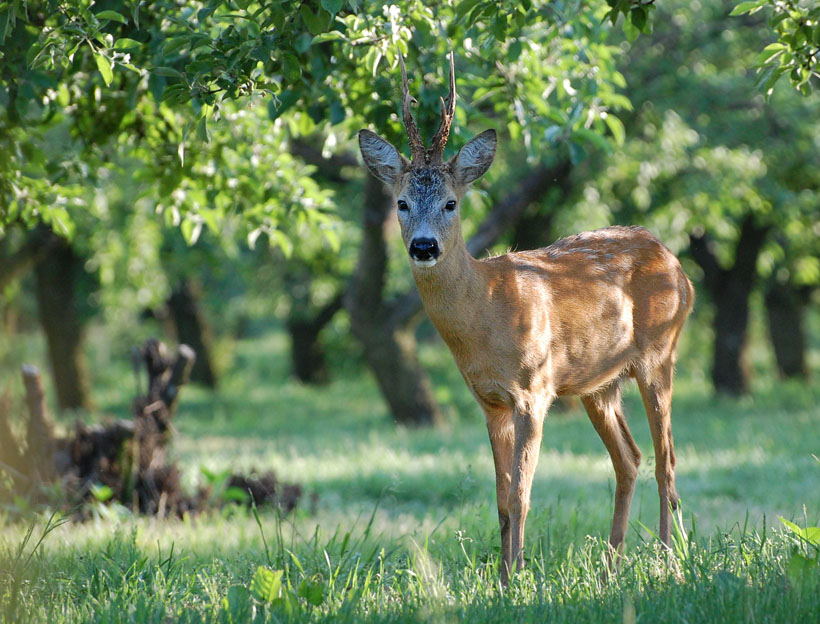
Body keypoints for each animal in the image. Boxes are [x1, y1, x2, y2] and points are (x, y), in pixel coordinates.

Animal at [358, 53, 692, 584]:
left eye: (451, 202)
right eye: (401, 203)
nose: (424, 246)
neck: (487, 310)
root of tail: (677, 265)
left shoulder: (534, 391)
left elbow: (521, 494)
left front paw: (517, 579)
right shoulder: (490, 400)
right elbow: (500, 500)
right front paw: (502, 577)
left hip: (660, 353)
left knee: (667, 459)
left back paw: (666, 558)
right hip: (600, 384)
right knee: (629, 458)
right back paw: (612, 564)